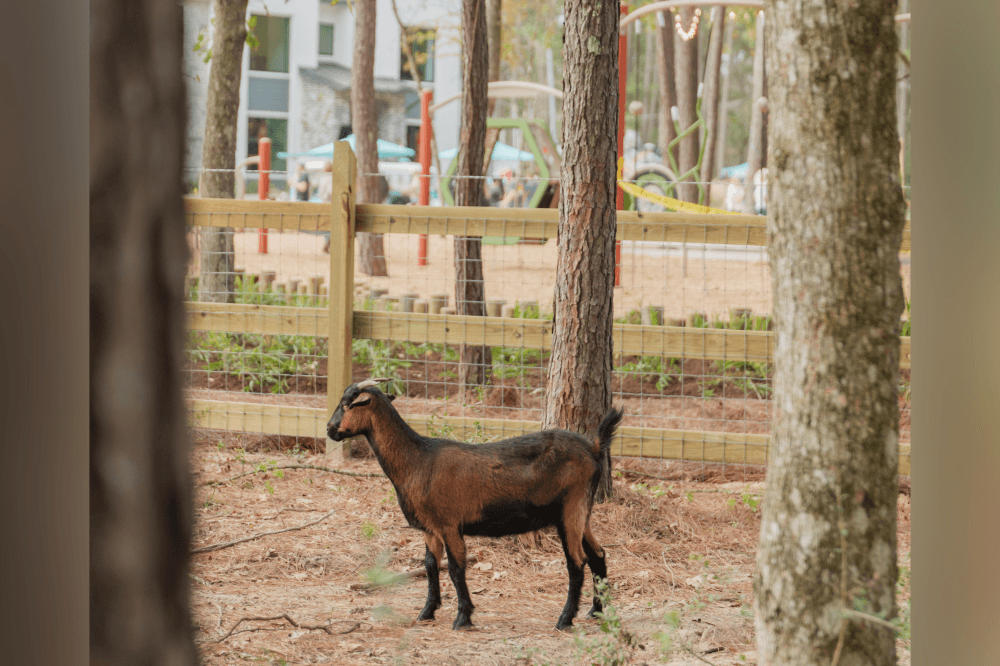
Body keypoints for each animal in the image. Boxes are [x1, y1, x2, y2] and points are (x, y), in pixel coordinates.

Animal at [327, 378, 624, 631]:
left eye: (346, 404)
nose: (330, 430)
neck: (418, 460)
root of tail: (594, 449)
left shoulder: (449, 524)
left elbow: (456, 568)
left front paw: (463, 617)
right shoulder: (430, 528)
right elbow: (430, 566)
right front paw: (426, 612)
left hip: (570, 508)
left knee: (577, 561)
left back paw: (564, 620)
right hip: (582, 512)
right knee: (598, 555)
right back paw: (596, 611)